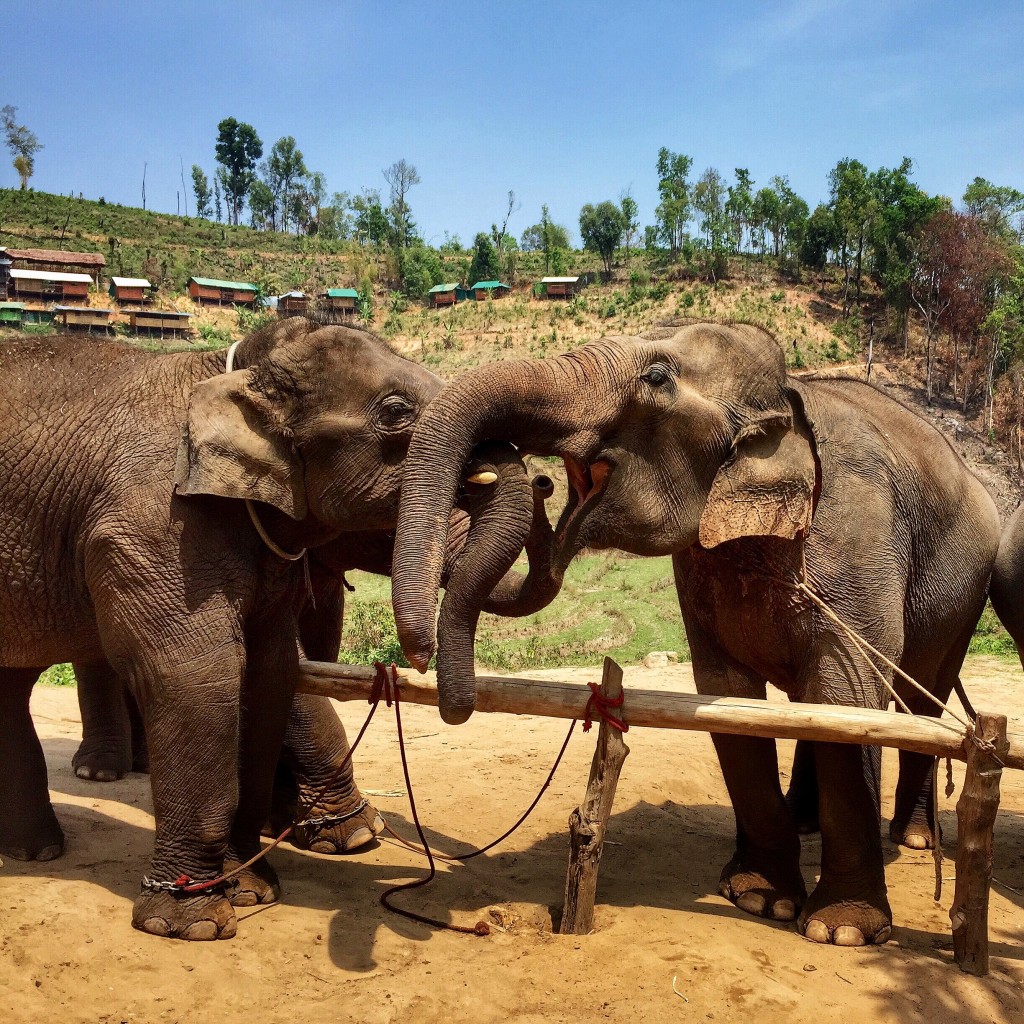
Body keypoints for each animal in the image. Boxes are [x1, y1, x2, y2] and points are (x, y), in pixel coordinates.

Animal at [0, 317, 462, 937]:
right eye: (395, 412)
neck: (237, 369)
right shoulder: (157, 526)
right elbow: (203, 673)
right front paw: (194, 922)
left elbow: (270, 672)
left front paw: (256, 885)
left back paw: (32, 850)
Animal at [387, 323, 995, 946]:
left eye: (656, 377)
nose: (539, 481)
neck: (787, 398)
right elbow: (731, 695)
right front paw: (760, 898)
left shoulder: (857, 536)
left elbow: (846, 696)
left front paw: (840, 930)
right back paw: (808, 823)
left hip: (967, 592)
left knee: (921, 696)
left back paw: (913, 838)